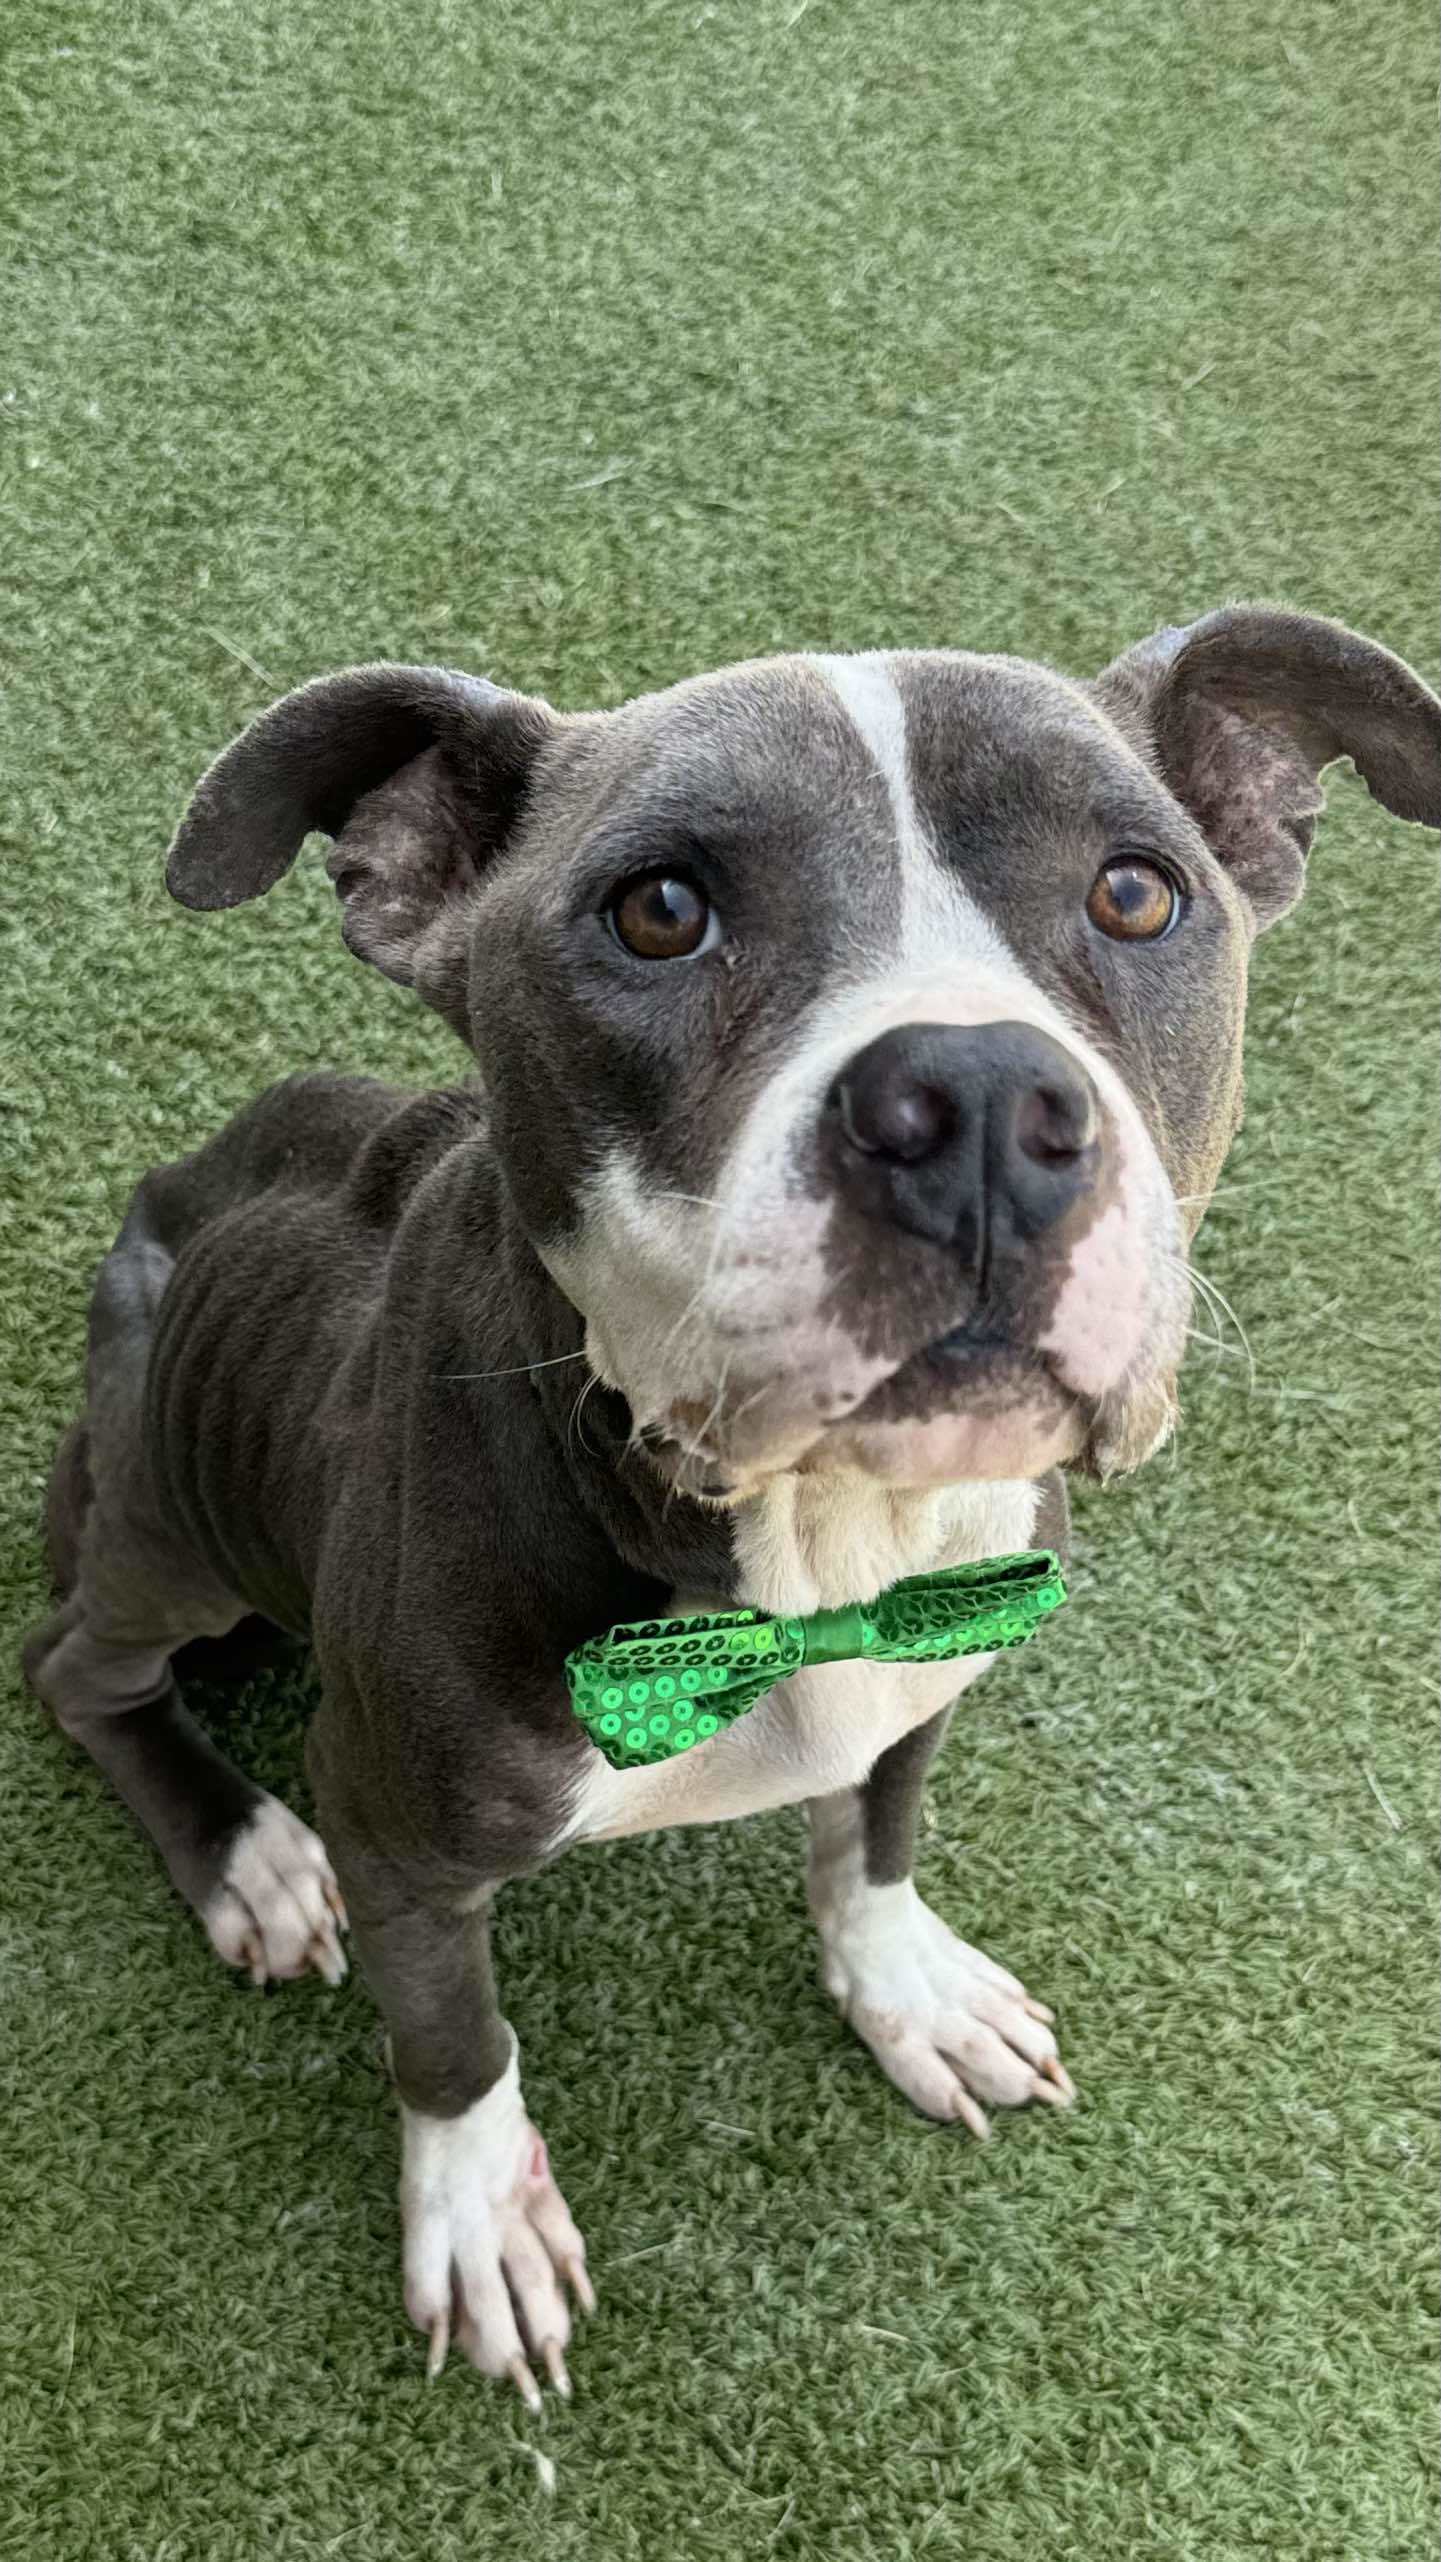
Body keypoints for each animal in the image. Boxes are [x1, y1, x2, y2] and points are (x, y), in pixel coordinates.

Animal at [25, 599, 1435, 2398]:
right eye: (660, 911)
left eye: (1136, 890)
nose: (979, 1102)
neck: (820, 1554)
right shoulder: (395, 1827)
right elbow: (451, 2033)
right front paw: (480, 2211)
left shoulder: (923, 1676)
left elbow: (874, 1834)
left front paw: (906, 1986)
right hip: (168, 1519)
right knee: (76, 1665)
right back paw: (245, 1858)